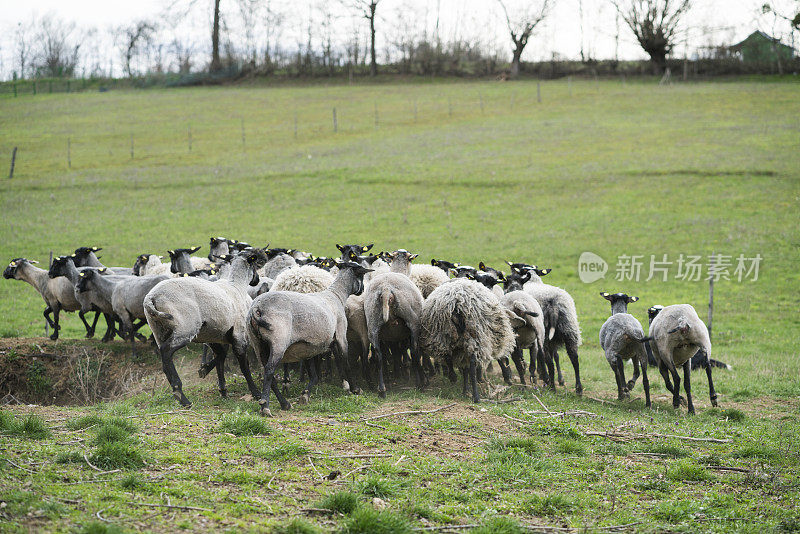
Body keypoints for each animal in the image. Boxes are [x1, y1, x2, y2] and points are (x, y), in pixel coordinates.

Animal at [143, 249, 266, 408]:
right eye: (255, 265)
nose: (256, 280)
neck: (237, 287)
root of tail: (151, 298)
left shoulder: (215, 336)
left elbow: (220, 358)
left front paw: (219, 386)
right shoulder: (239, 335)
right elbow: (244, 365)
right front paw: (255, 393)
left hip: (158, 330)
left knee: (164, 359)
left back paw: (179, 393)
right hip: (185, 328)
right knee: (166, 351)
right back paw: (182, 397)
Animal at [247, 262, 372, 416]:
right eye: (361, 276)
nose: (363, 290)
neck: (336, 296)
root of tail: (257, 307)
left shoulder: (307, 347)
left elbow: (314, 374)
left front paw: (305, 394)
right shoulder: (341, 335)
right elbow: (345, 361)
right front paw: (355, 389)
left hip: (258, 344)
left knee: (267, 372)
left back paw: (284, 403)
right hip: (278, 341)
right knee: (270, 371)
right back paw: (265, 406)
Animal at [506, 266, 580, 396]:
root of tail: (554, 305)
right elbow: (554, 356)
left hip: (544, 334)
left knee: (548, 361)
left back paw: (551, 386)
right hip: (570, 330)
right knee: (574, 358)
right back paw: (578, 389)